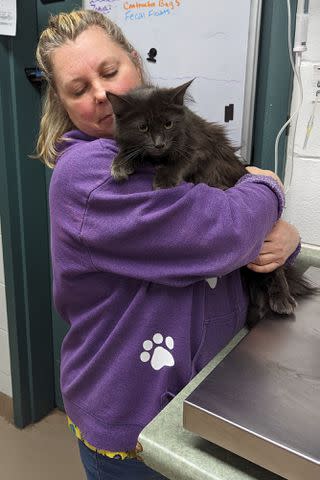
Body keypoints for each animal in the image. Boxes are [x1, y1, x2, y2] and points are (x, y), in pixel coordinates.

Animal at [107, 80, 318, 328]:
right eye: (143, 128)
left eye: (168, 124)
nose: (159, 144)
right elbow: (131, 151)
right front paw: (120, 163)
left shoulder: (199, 148)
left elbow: (181, 160)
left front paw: (164, 179)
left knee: (276, 269)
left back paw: (282, 298)